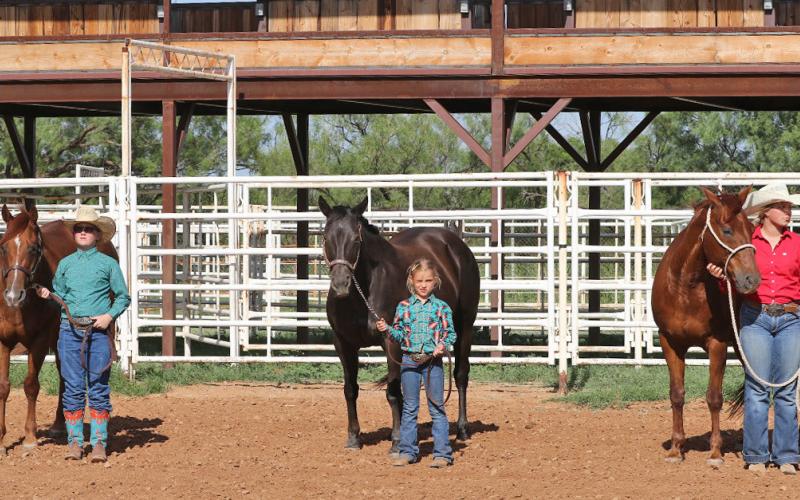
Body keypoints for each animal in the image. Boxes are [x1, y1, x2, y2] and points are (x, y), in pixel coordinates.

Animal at [319, 197, 479, 453]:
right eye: (326, 237)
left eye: (356, 239)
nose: (341, 284)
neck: (363, 293)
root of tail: (455, 242)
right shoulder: (343, 344)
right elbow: (350, 389)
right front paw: (354, 437)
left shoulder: (391, 342)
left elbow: (393, 391)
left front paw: (396, 440)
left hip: (465, 325)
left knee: (461, 375)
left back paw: (463, 428)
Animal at [652, 187, 761, 466]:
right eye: (727, 230)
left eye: (751, 229)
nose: (752, 279)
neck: (685, 287)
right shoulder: (670, 342)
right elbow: (676, 394)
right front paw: (676, 449)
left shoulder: (717, 344)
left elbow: (714, 397)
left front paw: (715, 452)